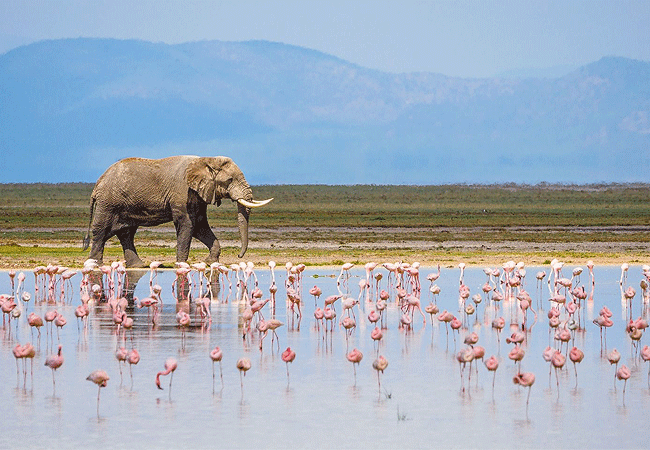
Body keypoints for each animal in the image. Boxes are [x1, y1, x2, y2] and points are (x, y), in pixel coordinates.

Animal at [83, 156, 270, 268]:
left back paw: (138, 266)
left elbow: (200, 226)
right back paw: (95, 264)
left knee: (125, 232)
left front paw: (209, 262)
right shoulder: (182, 192)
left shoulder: (198, 195)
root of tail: (97, 184)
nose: (239, 256)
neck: (205, 159)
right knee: (101, 231)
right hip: (108, 203)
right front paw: (182, 264)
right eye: (230, 180)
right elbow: (187, 224)